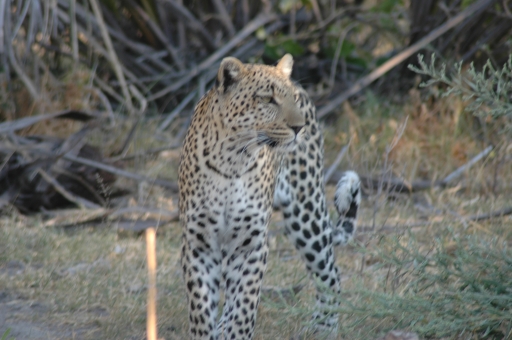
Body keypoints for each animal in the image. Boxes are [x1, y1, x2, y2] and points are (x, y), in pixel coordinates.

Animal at [178, 53, 362, 340]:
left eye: (291, 99)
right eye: (267, 99)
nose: (299, 127)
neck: (233, 161)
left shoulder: (251, 243)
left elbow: (244, 306)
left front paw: (235, 333)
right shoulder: (199, 243)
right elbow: (201, 309)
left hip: (305, 211)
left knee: (329, 272)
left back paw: (323, 326)